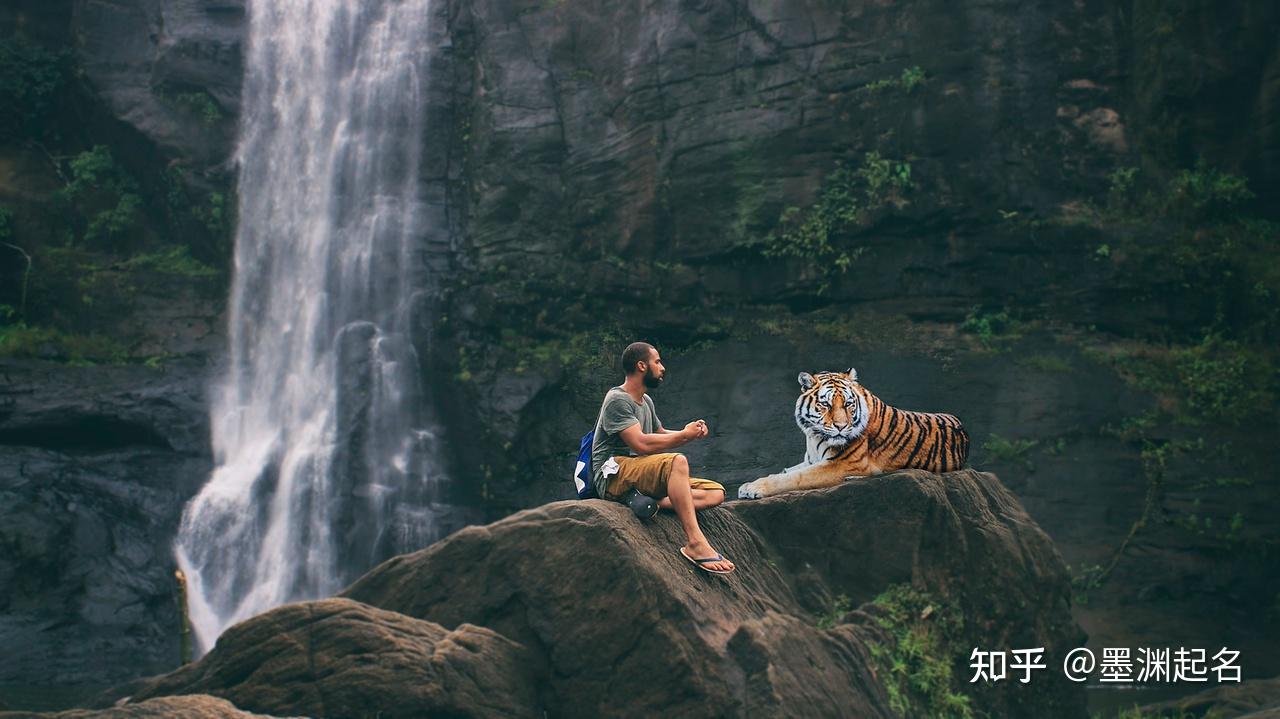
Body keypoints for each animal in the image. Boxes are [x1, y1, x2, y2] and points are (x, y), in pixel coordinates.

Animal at [737, 367, 969, 499]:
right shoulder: (811, 460)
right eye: (826, 404)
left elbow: (793, 478)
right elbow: (785, 471)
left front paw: (751, 488)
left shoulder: (841, 463)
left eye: (848, 404)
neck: (814, 435)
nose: (840, 426)